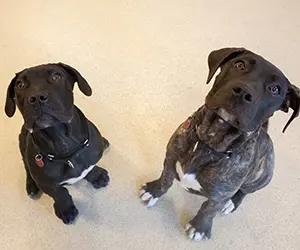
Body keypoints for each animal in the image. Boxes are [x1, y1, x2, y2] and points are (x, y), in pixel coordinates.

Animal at [4, 63, 110, 225]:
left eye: (56, 77)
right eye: (20, 85)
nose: (37, 98)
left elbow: (90, 168)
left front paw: (97, 175)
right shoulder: (48, 185)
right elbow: (60, 194)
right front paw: (66, 210)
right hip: (22, 142)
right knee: (26, 166)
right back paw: (31, 186)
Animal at [141, 47, 300, 240]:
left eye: (275, 89)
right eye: (239, 64)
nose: (242, 91)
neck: (210, 142)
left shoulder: (220, 195)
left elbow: (209, 209)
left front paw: (200, 227)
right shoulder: (170, 159)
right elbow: (166, 178)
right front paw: (154, 190)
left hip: (264, 174)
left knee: (245, 191)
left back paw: (232, 203)